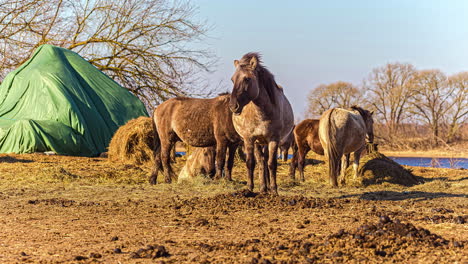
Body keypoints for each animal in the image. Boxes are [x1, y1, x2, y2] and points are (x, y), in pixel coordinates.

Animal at [229, 53, 292, 194]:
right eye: (232, 79)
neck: (261, 114)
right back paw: (263, 188)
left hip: (265, 142)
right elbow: (250, 163)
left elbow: (272, 164)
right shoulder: (249, 139)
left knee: (265, 161)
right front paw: (249, 188)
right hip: (258, 142)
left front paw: (274, 190)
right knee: (261, 162)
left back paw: (267, 188)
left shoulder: (273, 139)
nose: (233, 106)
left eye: (247, 79)